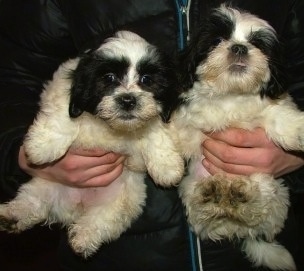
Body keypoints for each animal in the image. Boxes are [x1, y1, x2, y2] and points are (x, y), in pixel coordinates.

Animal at [0, 30, 183, 258]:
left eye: (146, 79)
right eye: (109, 78)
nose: (128, 100)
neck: (110, 127)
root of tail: (74, 210)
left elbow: (155, 130)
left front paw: (167, 168)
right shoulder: (64, 86)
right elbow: (63, 115)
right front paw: (41, 147)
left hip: (122, 202)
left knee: (101, 221)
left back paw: (83, 238)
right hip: (45, 185)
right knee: (32, 202)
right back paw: (12, 215)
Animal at [171, 4, 302, 271]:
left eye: (257, 44)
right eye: (217, 40)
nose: (239, 47)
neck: (231, 95)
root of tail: (238, 228)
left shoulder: (272, 103)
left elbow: (279, 115)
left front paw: (298, 129)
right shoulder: (191, 116)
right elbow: (183, 129)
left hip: (276, 189)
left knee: (260, 207)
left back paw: (242, 197)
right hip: (190, 185)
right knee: (204, 220)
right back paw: (212, 197)